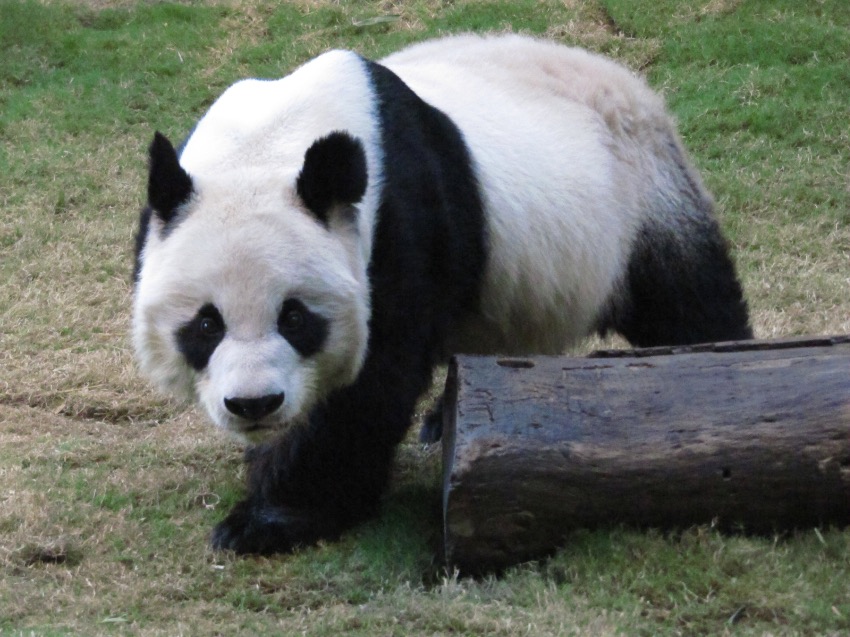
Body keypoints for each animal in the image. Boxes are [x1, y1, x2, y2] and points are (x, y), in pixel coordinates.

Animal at [133, 34, 752, 554]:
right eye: (206, 324)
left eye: (295, 318)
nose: (254, 404)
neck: (271, 143)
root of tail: (623, 78)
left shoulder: (396, 226)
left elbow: (368, 387)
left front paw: (271, 520)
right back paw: (439, 422)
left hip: (642, 194)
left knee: (685, 297)